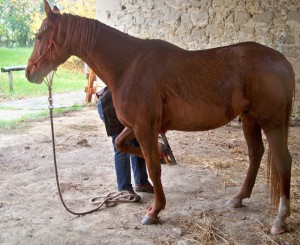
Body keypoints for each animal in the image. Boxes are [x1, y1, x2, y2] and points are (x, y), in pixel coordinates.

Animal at [26, 0, 296, 235]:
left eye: (39, 36)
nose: (30, 73)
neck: (129, 66)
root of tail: (281, 61)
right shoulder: (136, 126)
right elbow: (122, 145)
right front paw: (163, 152)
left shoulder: (144, 128)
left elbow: (153, 167)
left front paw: (154, 211)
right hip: (249, 118)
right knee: (255, 154)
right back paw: (239, 198)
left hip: (271, 121)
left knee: (283, 161)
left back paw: (280, 219)